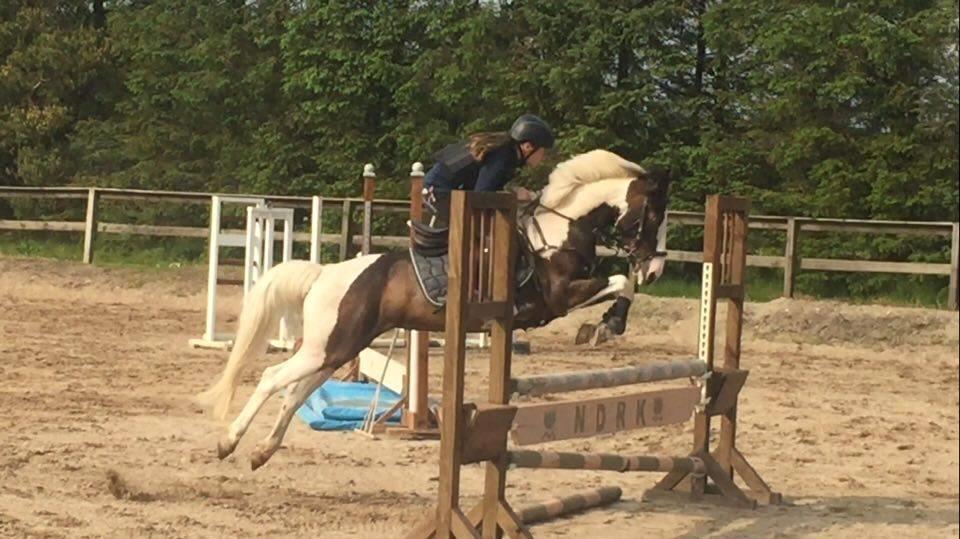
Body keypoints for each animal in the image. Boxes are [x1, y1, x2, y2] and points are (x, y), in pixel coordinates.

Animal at [197, 149, 671, 470]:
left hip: (338, 349)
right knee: (272, 378)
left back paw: (262, 451)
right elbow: (620, 282)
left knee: (295, 392)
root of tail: (324, 274)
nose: (656, 268)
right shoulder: (558, 296)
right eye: (652, 216)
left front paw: (604, 324)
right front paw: (606, 326)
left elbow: (622, 284)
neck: (559, 229)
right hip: (326, 347)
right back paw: (229, 442)